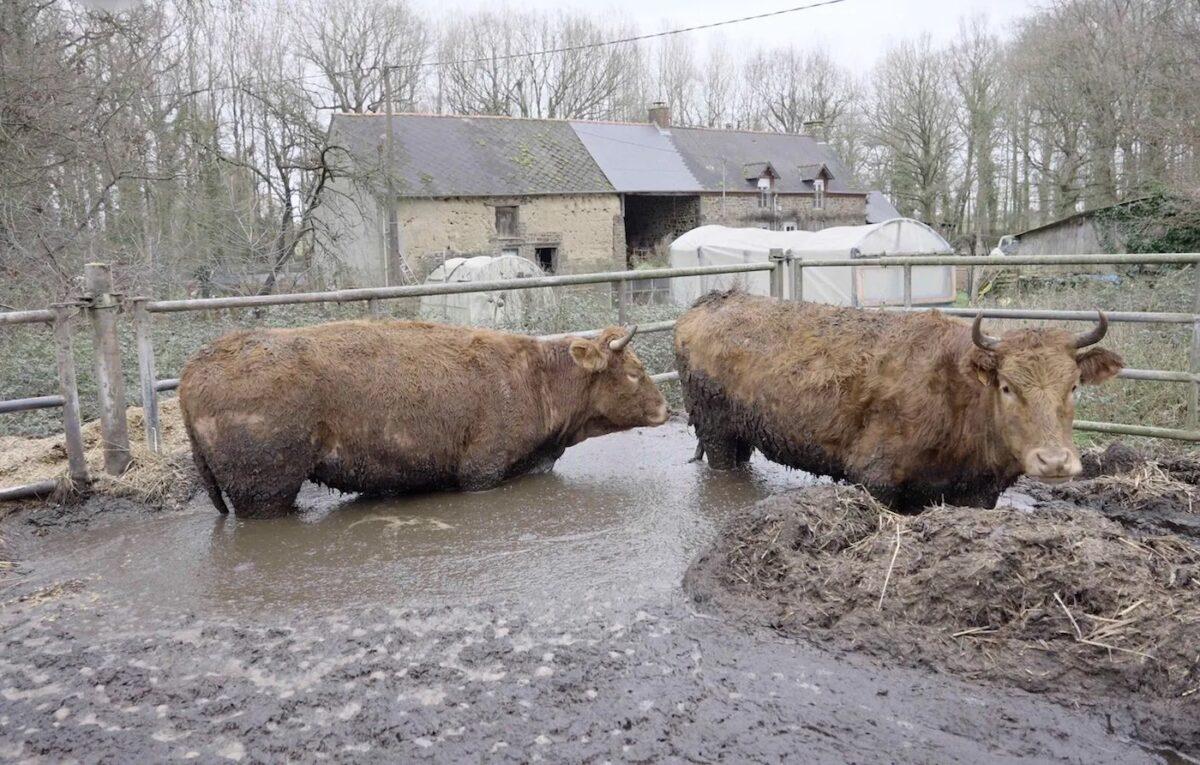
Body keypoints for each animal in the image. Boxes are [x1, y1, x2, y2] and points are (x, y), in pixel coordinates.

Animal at [178, 321, 672, 517]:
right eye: (634, 371)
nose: (667, 407)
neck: (535, 380)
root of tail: (194, 368)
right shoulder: (480, 472)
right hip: (263, 492)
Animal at [676, 290, 1123, 513]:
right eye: (1008, 387)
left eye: (1074, 386)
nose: (1055, 461)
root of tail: (714, 299)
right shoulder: (874, 478)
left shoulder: (980, 492)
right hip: (716, 432)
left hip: (740, 434)